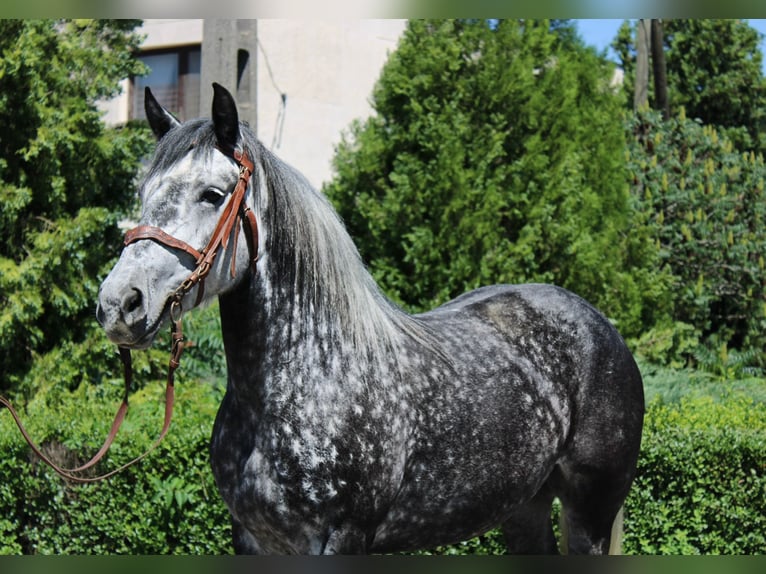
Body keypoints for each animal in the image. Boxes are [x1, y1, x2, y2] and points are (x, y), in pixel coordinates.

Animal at [96, 83, 644, 555]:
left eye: (212, 194)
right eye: (144, 193)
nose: (119, 304)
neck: (310, 377)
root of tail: (599, 325)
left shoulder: (343, 538)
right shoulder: (253, 539)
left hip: (590, 513)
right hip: (524, 507)